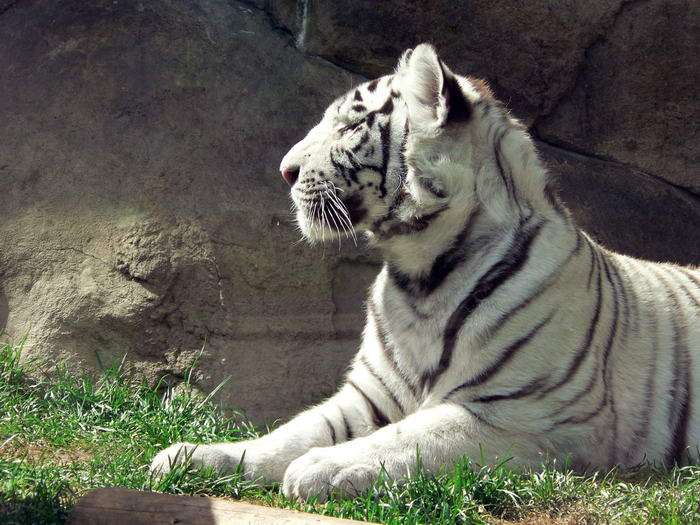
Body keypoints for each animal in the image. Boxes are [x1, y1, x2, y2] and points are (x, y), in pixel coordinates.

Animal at [151, 43, 700, 501]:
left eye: (349, 128)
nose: (284, 171)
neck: (420, 275)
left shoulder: (523, 413)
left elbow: (412, 435)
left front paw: (321, 467)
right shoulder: (367, 397)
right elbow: (291, 431)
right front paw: (193, 456)